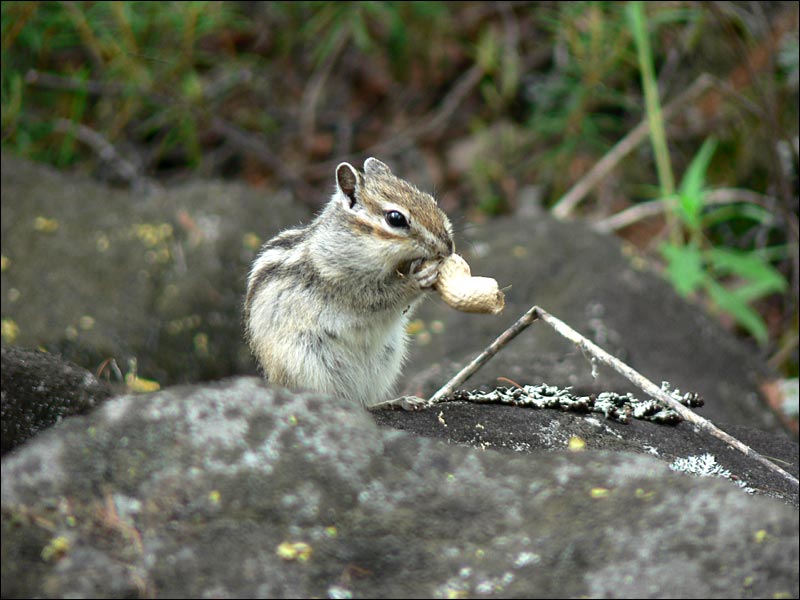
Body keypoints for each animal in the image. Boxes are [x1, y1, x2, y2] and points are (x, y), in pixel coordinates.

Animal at [244, 157, 454, 407]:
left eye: (430, 200)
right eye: (396, 218)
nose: (449, 246)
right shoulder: (341, 283)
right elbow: (379, 297)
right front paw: (416, 280)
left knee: (364, 403)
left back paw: (399, 401)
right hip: (306, 363)